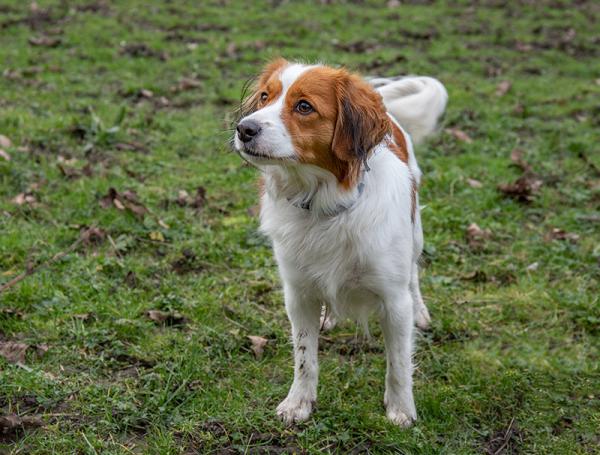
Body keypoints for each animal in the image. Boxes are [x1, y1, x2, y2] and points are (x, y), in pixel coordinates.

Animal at [233, 59, 446, 428]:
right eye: (264, 97)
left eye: (304, 107)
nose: (243, 128)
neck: (323, 204)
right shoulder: (298, 293)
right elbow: (304, 356)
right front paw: (299, 402)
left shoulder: (394, 301)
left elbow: (398, 363)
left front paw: (401, 409)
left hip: (415, 232)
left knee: (414, 273)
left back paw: (420, 310)